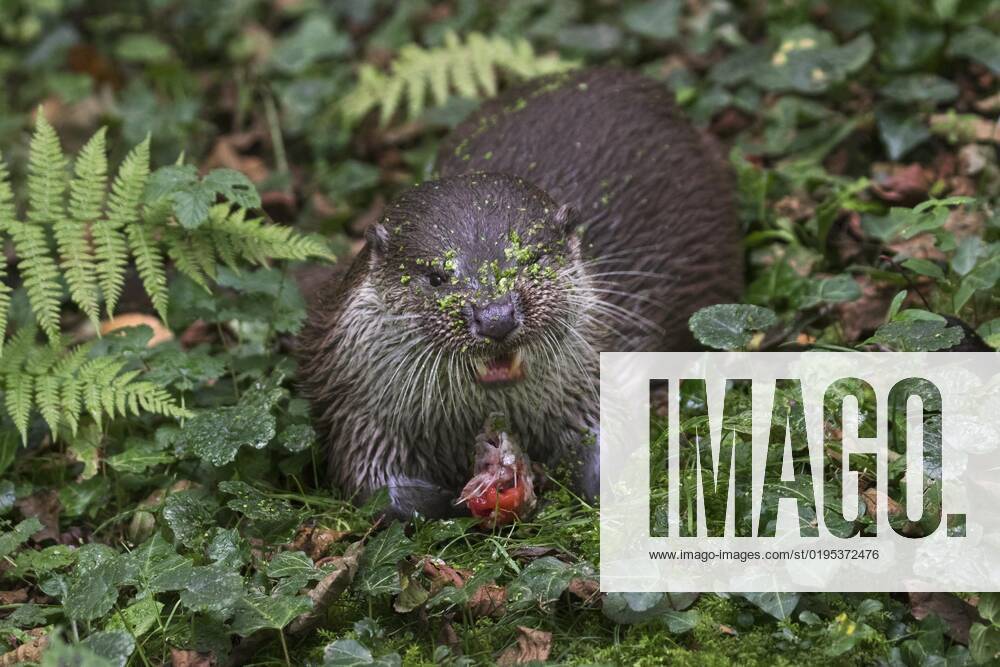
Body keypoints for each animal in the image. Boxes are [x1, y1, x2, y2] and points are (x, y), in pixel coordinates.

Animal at [300, 68, 742, 517]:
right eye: (437, 277)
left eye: (531, 259)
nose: (496, 316)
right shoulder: (357, 411)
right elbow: (381, 492)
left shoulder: (593, 378)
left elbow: (608, 449)